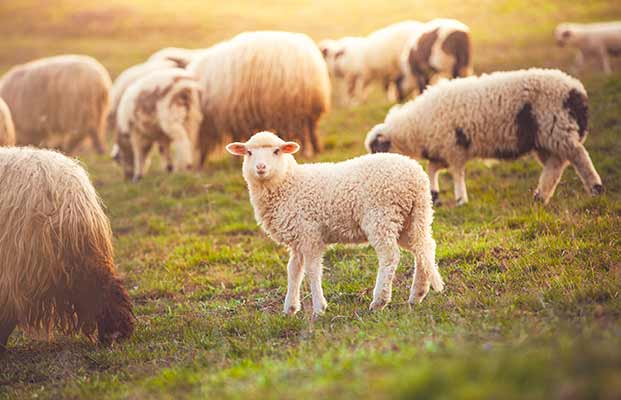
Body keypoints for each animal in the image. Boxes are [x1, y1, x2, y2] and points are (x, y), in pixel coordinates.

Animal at [188, 31, 330, 159]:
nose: (195, 167)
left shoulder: (231, 114)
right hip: (305, 106)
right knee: (311, 130)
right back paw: (316, 150)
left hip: (293, 107)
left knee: (305, 131)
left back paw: (308, 152)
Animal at [225, 131, 444, 316]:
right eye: (249, 153)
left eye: (276, 151)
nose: (260, 167)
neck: (288, 184)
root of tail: (415, 177)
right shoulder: (298, 238)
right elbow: (293, 271)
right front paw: (290, 309)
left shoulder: (310, 234)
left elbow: (312, 270)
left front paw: (318, 308)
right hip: (412, 218)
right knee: (424, 247)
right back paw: (417, 294)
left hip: (382, 216)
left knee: (390, 256)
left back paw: (379, 301)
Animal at [366, 69, 604, 206]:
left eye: (377, 149)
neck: (413, 127)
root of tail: (576, 90)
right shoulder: (442, 151)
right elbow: (432, 169)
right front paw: (434, 195)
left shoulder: (454, 148)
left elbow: (456, 174)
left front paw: (461, 199)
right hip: (545, 138)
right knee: (557, 164)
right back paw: (540, 196)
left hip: (557, 128)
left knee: (578, 156)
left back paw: (595, 188)